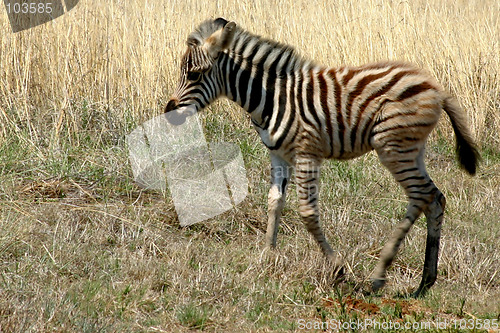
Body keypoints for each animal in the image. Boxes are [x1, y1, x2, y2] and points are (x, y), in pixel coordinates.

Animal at [164, 18, 480, 296]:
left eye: (195, 74)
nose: (169, 113)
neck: (270, 98)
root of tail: (436, 87)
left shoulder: (306, 154)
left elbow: (307, 212)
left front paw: (337, 268)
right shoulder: (278, 156)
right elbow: (274, 203)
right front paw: (267, 256)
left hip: (393, 147)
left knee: (422, 195)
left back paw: (380, 275)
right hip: (412, 149)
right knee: (433, 198)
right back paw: (425, 280)